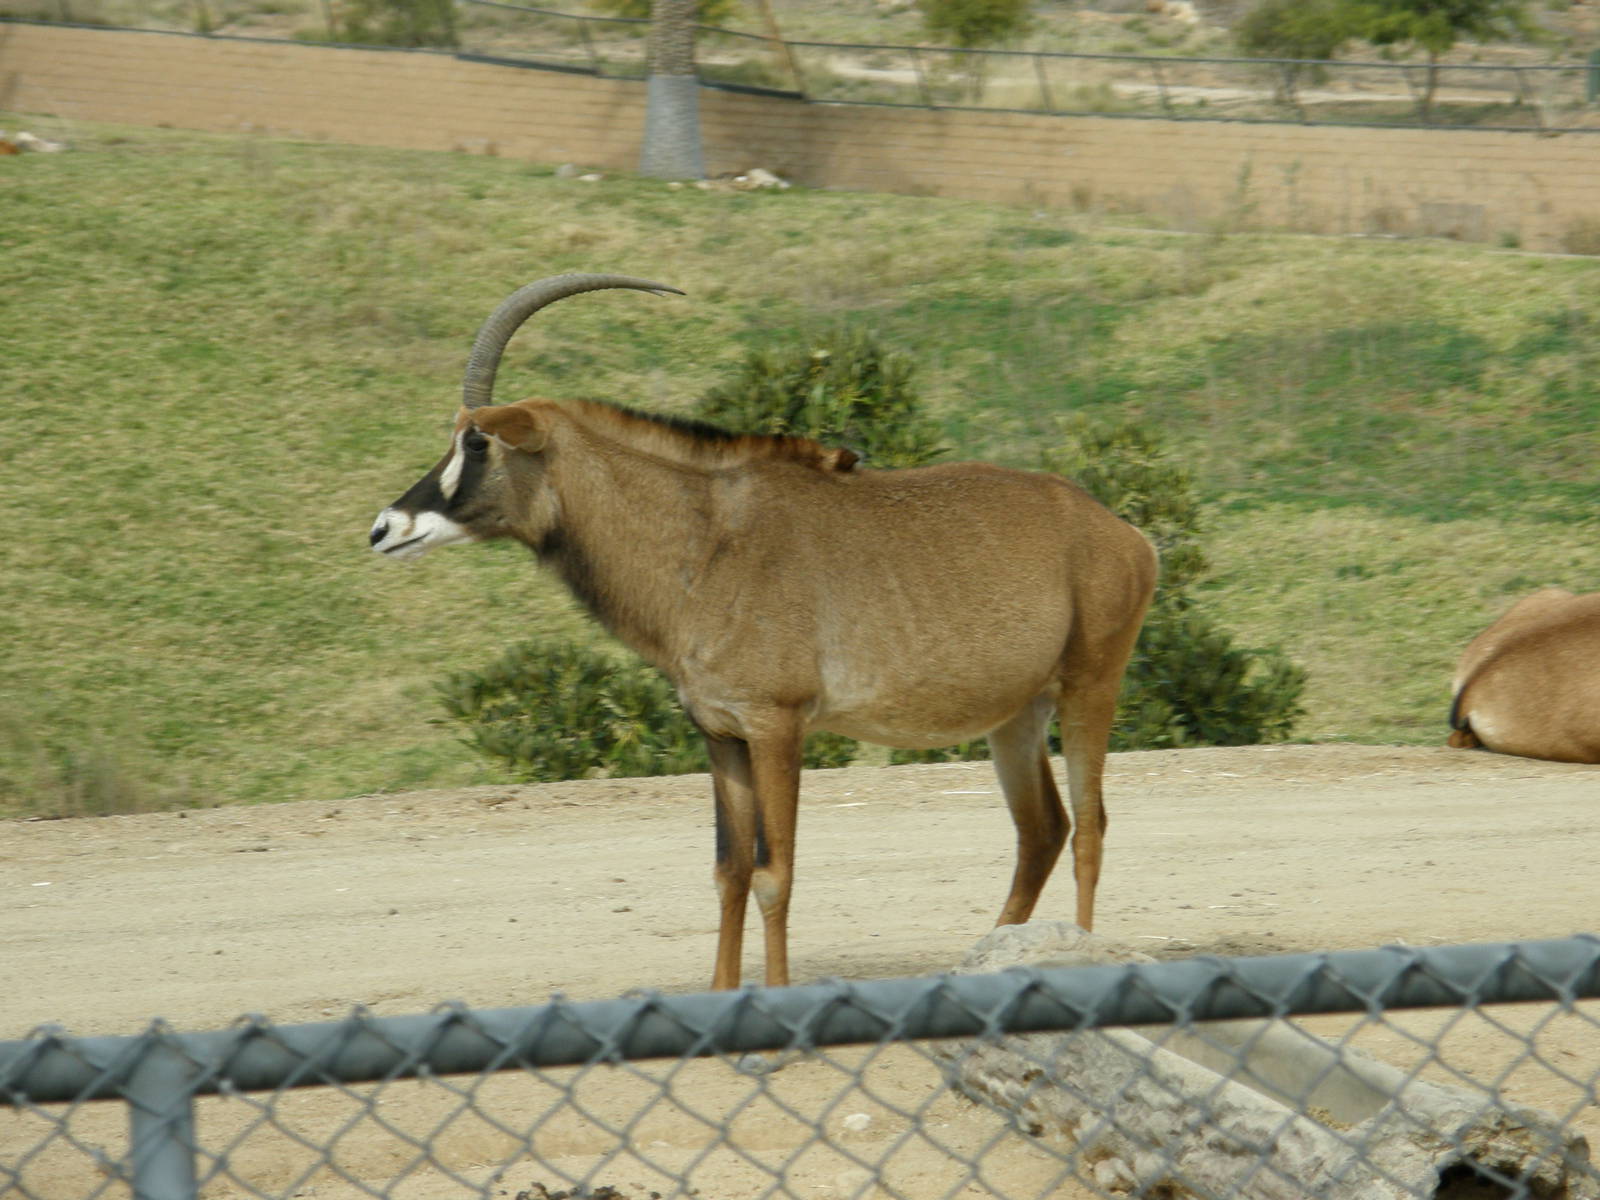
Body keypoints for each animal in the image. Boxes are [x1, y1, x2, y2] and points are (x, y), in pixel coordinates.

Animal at [370, 273, 1159, 990]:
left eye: (478, 442)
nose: (386, 528)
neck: (708, 543)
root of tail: (1123, 533)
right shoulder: (721, 732)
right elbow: (729, 872)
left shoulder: (778, 724)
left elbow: (775, 871)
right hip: (1015, 716)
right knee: (1043, 830)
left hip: (1091, 686)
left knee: (1089, 827)